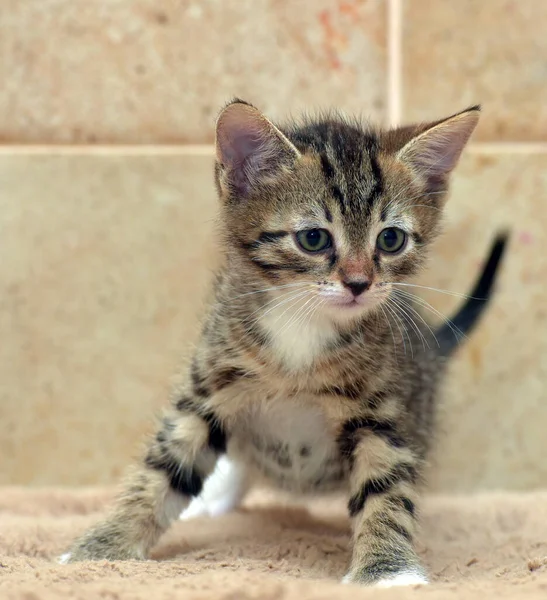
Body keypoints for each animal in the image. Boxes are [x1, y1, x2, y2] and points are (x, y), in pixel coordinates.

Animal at [62, 99, 508, 584]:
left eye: (390, 239)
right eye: (313, 238)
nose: (358, 283)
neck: (303, 330)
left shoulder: (381, 415)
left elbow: (385, 488)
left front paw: (387, 571)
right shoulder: (207, 389)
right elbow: (163, 468)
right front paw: (103, 548)